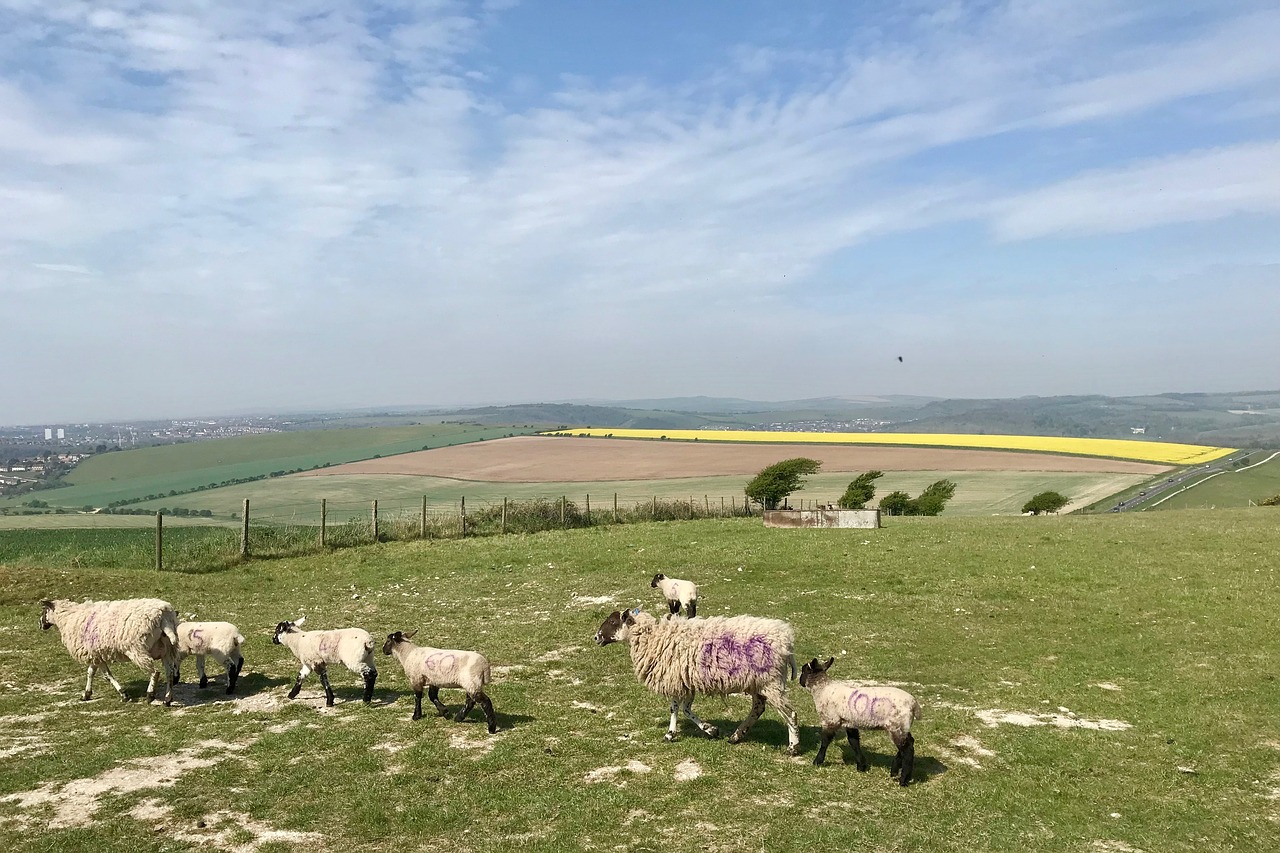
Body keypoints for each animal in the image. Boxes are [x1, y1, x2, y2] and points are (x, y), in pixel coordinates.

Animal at [40, 591, 181, 701]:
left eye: (44, 610)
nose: (40, 624)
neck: (67, 617)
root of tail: (163, 616)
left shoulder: (94, 655)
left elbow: (107, 676)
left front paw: (123, 694)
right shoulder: (94, 654)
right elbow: (91, 673)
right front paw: (86, 694)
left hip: (137, 649)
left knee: (155, 672)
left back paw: (150, 694)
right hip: (166, 649)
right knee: (169, 673)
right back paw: (167, 699)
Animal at [591, 604, 793, 753]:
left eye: (612, 621)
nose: (596, 637)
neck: (653, 637)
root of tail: (786, 640)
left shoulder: (673, 679)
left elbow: (675, 708)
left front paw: (670, 734)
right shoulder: (686, 681)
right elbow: (686, 709)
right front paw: (711, 730)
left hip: (770, 681)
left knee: (790, 713)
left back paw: (793, 747)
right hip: (757, 682)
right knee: (758, 708)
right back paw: (736, 736)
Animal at [798, 655, 921, 783]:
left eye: (804, 670)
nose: (799, 681)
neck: (822, 690)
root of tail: (914, 704)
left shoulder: (830, 720)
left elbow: (825, 742)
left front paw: (817, 761)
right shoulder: (849, 722)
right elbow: (854, 742)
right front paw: (861, 766)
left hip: (896, 725)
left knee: (907, 749)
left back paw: (903, 779)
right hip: (902, 725)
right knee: (908, 743)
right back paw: (895, 770)